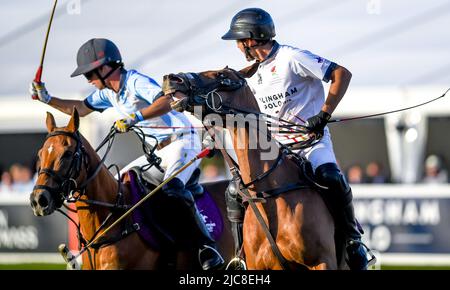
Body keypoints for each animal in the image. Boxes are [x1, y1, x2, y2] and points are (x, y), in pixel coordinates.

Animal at [162, 67, 348, 270]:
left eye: (221, 75)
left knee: (330, 175)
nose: (171, 78)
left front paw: (317, 121)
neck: (269, 192)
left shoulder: (322, 261)